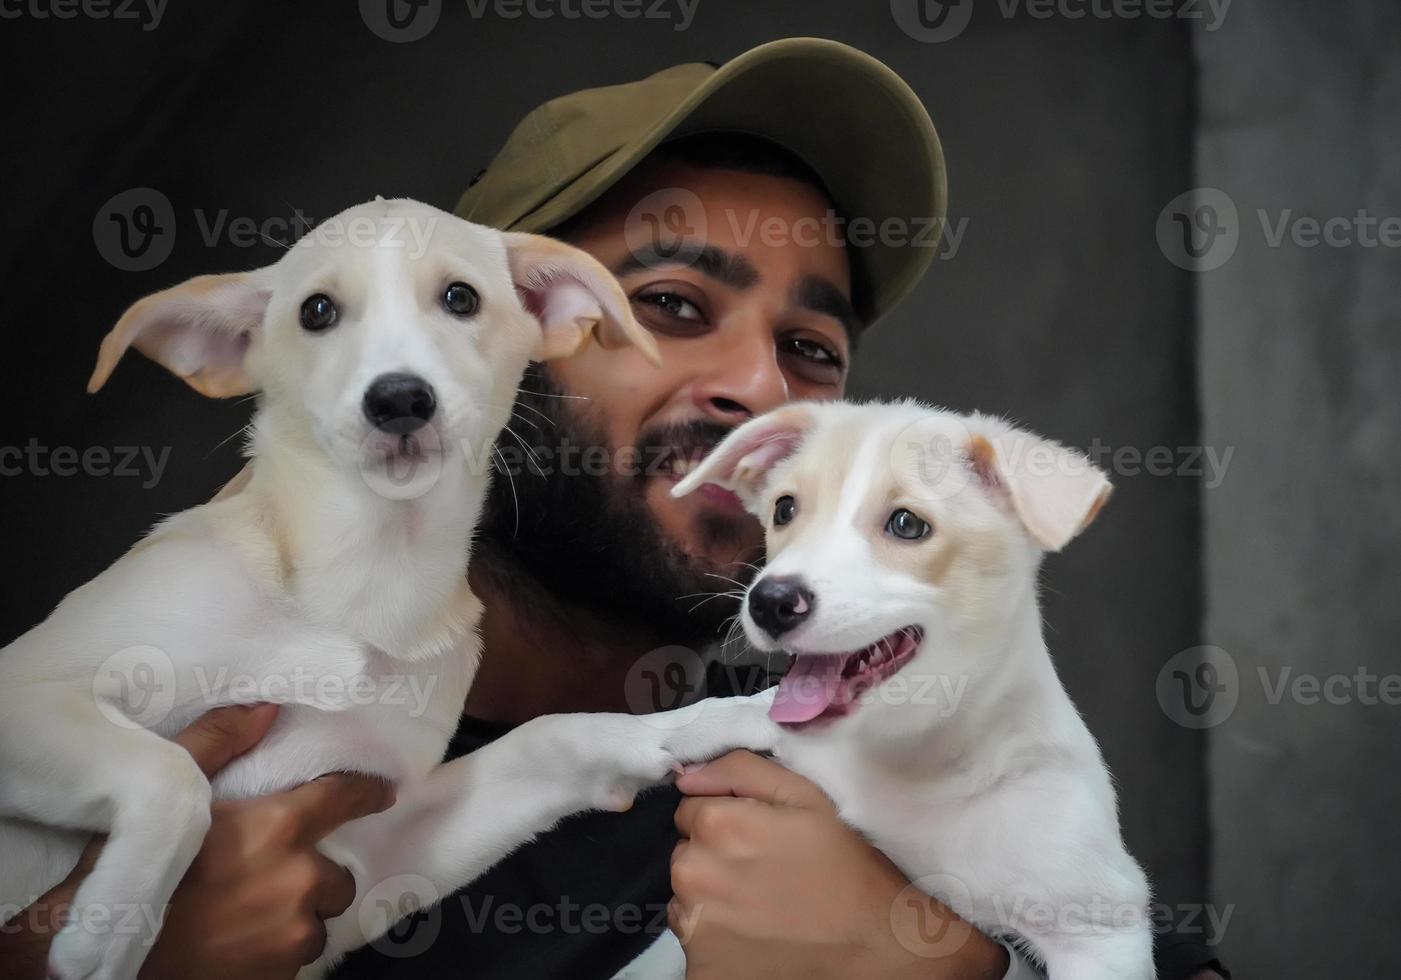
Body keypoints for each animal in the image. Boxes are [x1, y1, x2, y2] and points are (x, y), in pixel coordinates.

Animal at [624, 397, 1148, 980]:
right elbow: (737, 713)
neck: (908, 757)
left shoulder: (1098, 928)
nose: (770, 602)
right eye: (784, 509)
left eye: (906, 524)